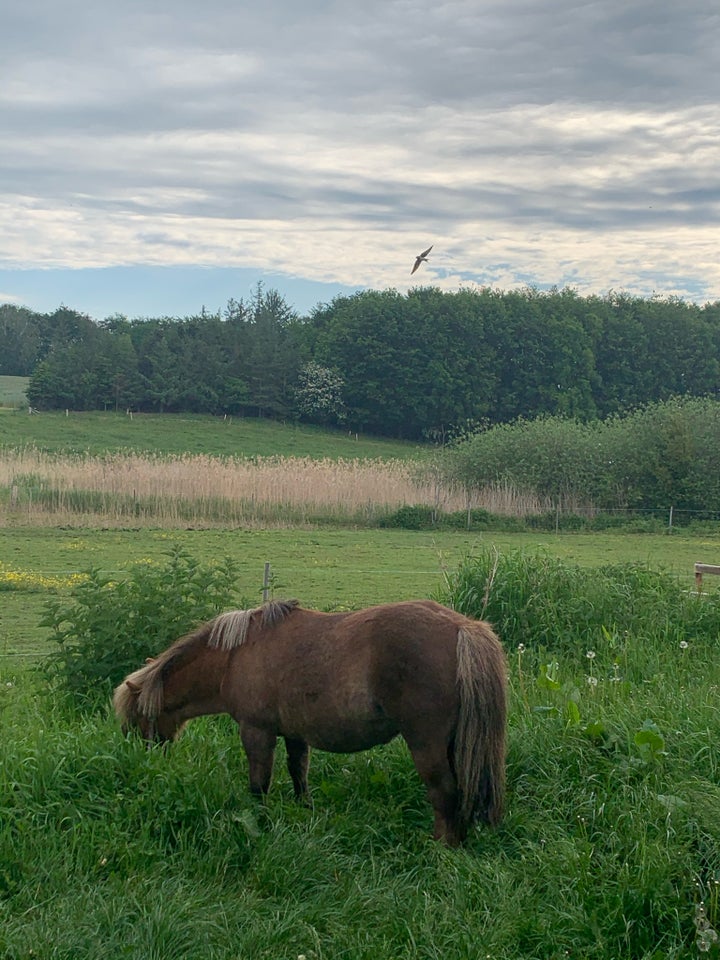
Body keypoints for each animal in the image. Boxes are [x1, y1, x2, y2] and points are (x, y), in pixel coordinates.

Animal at [114, 600, 506, 848]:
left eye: (136, 723)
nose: (145, 763)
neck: (234, 656)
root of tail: (462, 627)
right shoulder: (294, 734)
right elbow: (298, 773)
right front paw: (304, 812)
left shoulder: (256, 731)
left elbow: (259, 784)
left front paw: (260, 823)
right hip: (454, 743)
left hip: (426, 744)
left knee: (444, 792)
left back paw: (442, 848)